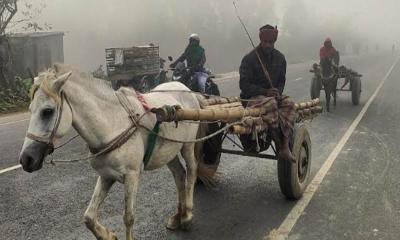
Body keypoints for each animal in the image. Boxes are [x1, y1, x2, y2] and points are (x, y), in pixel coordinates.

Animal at [18, 63, 206, 240]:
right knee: (179, 175)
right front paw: (107, 235)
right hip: (169, 152)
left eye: (47, 111)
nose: (26, 159)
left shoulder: (132, 176)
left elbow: (128, 217)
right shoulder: (106, 175)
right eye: (30, 110)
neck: (112, 125)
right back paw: (178, 216)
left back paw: (187, 216)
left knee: (191, 171)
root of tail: (187, 89)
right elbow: (89, 217)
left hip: (187, 146)